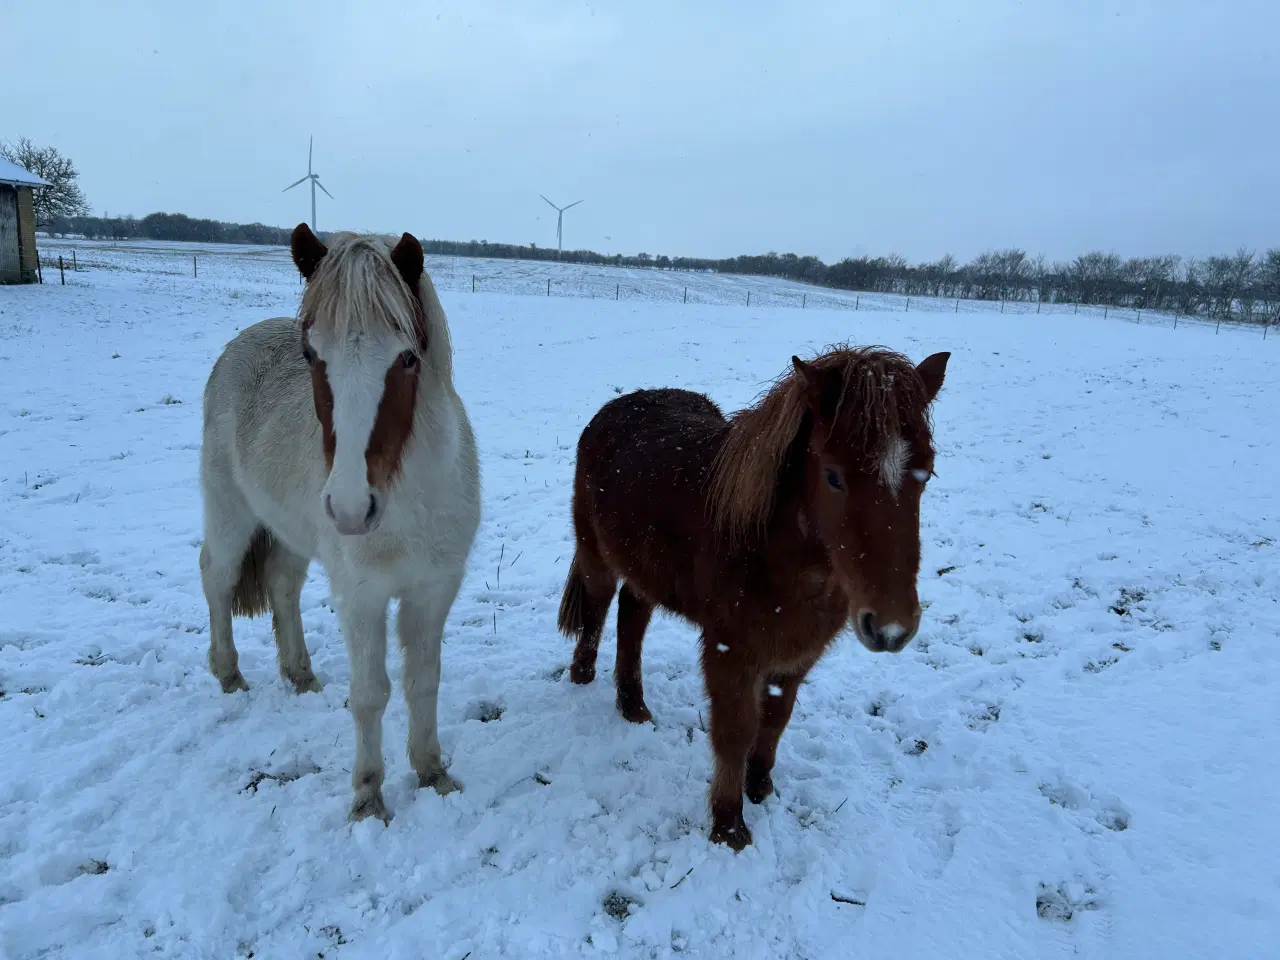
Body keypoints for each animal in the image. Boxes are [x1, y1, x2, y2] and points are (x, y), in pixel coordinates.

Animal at [199, 221, 481, 824]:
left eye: (407, 359)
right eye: (311, 355)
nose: (352, 506)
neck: (408, 506)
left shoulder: (433, 592)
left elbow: (424, 682)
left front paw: (432, 773)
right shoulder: (362, 597)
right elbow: (371, 693)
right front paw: (368, 799)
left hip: (290, 533)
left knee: (281, 585)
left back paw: (300, 675)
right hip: (230, 512)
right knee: (217, 576)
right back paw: (229, 674)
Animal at [560, 345, 952, 849]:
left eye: (926, 472)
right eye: (833, 477)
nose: (891, 627)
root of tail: (616, 407)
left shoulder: (797, 653)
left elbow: (776, 718)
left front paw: (760, 786)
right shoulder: (730, 652)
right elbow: (735, 730)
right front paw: (729, 826)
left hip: (644, 570)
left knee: (632, 613)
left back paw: (634, 707)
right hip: (596, 556)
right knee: (598, 606)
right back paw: (584, 675)